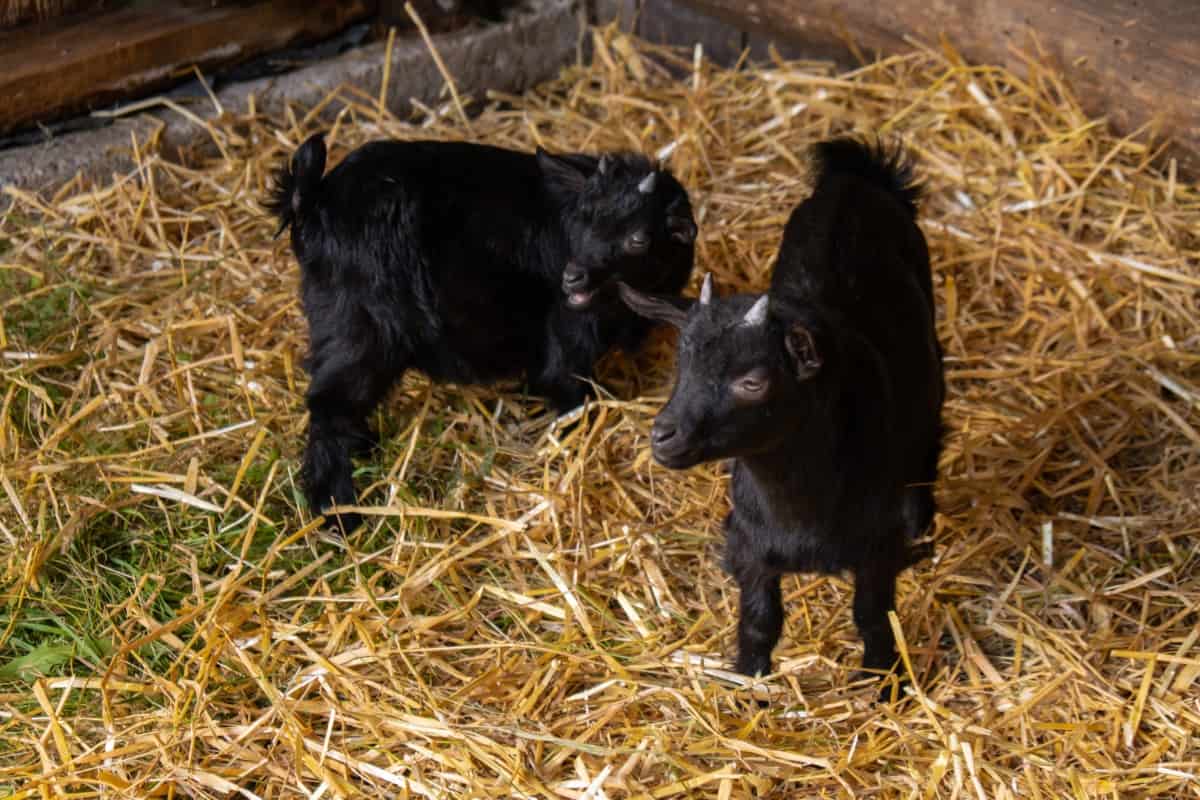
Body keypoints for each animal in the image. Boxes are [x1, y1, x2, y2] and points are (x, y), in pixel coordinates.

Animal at [267, 133, 697, 531]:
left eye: (638, 237)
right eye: (584, 218)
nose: (573, 277)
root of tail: (313, 199)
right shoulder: (568, 339)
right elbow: (570, 395)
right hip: (363, 331)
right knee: (330, 406)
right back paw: (338, 513)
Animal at [618, 138, 943, 683]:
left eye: (752, 381)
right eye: (682, 363)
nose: (664, 435)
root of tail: (855, 178)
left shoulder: (876, 546)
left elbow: (874, 616)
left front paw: (883, 681)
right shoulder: (749, 545)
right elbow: (759, 618)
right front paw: (749, 677)